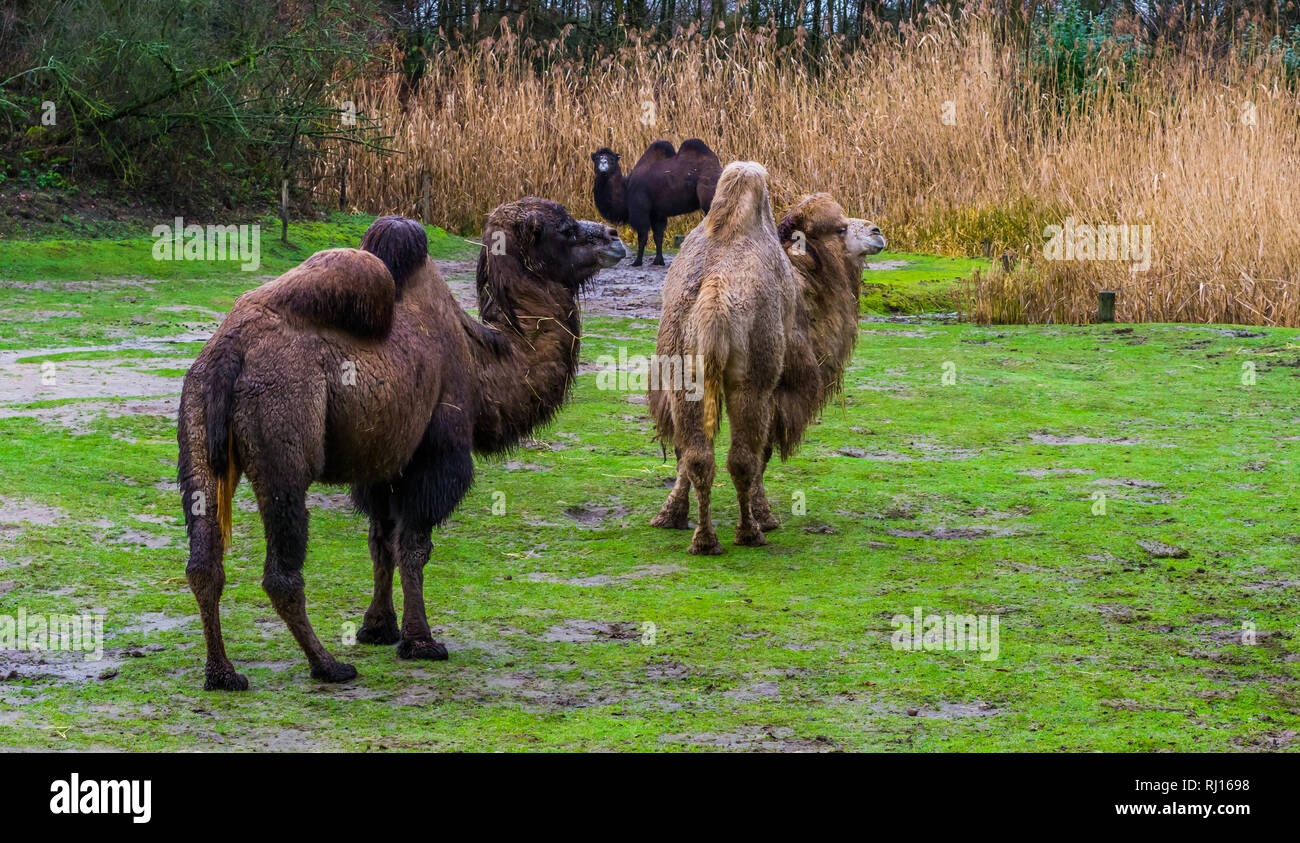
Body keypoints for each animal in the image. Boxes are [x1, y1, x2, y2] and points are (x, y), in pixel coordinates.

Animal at [176, 200, 624, 686]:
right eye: (567, 230)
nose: (616, 237)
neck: (482, 360)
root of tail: (230, 352)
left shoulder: (384, 460)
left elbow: (381, 541)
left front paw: (378, 628)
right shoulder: (436, 454)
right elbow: (414, 546)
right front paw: (421, 641)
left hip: (195, 426)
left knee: (203, 561)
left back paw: (223, 674)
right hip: (283, 437)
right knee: (281, 568)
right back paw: (328, 665)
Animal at [590, 137, 722, 266]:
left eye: (612, 160)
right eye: (596, 159)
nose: (603, 166)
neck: (626, 189)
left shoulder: (640, 211)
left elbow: (642, 236)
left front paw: (637, 262)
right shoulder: (657, 213)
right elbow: (658, 236)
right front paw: (658, 261)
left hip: (709, 200)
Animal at [647, 189, 883, 554]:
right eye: (840, 228)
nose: (877, 232)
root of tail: (714, 297)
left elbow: (685, 452)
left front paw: (670, 514)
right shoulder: (783, 386)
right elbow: (766, 451)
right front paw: (765, 514)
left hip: (684, 367)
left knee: (695, 452)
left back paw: (703, 537)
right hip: (752, 379)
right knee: (742, 457)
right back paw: (749, 531)